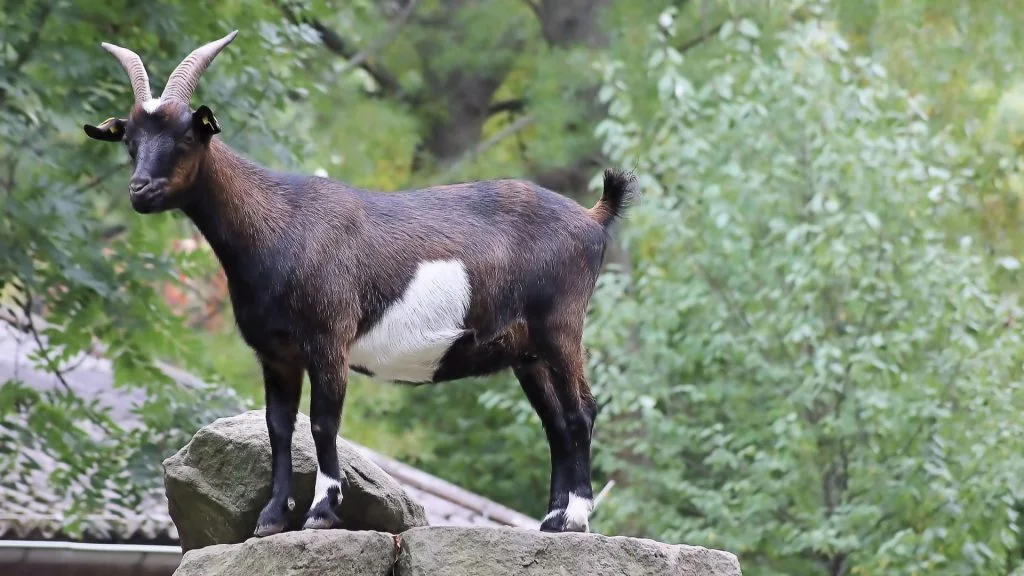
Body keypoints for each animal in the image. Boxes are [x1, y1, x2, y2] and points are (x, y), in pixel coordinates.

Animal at [84, 31, 637, 536]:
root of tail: (592, 217)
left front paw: (321, 512)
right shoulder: (276, 353)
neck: (280, 224)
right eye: (130, 143)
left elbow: (322, 422)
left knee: (581, 412)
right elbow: (278, 427)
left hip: (560, 326)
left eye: (185, 136)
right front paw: (270, 518)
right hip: (527, 352)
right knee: (556, 423)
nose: (140, 190)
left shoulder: (329, 339)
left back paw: (575, 519)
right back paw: (551, 521)